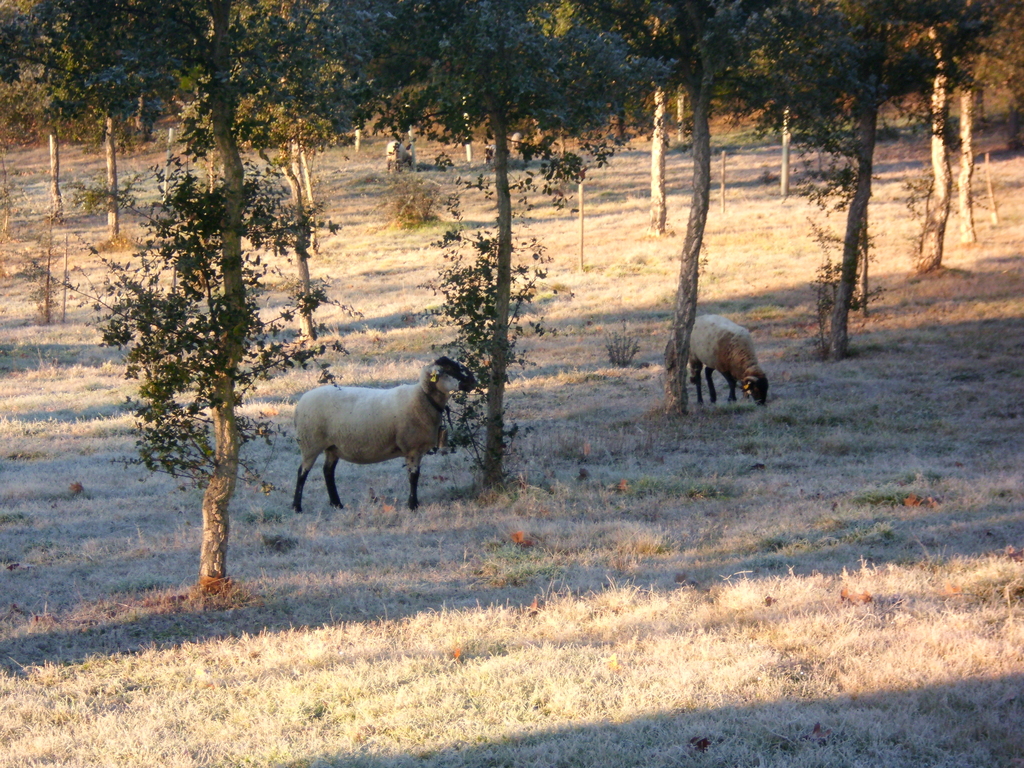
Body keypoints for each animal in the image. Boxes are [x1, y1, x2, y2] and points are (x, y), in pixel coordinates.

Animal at [292, 357, 476, 512]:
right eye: (449, 370)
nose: (473, 381)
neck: (423, 397)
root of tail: (301, 402)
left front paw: (413, 504)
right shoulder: (413, 448)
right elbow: (414, 477)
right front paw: (413, 505)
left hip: (332, 446)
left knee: (328, 471)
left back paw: (337, 504)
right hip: (310, 442)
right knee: (302, 472)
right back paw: (297, 507)